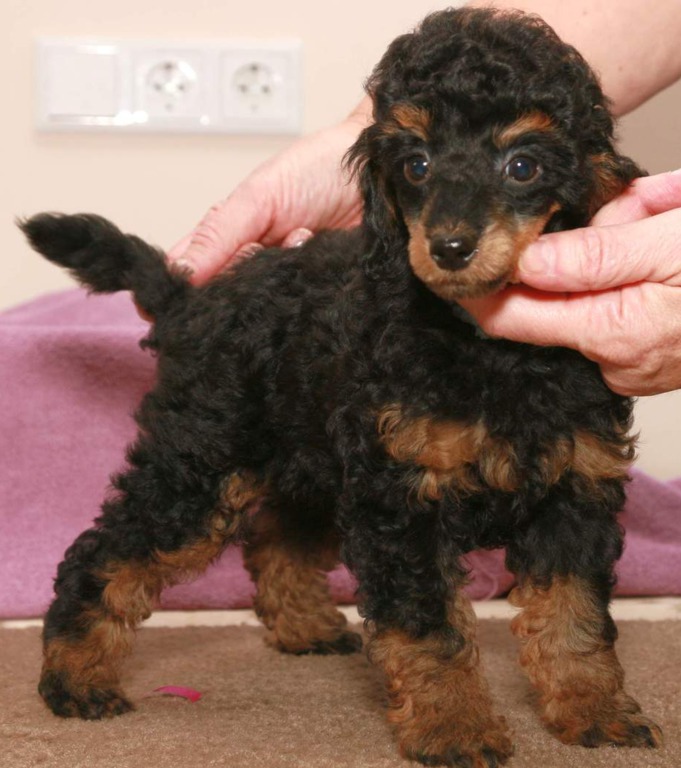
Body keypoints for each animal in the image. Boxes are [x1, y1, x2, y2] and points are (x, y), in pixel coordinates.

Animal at [21, 7, 662, 766]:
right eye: (415, 164)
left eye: (522, 165)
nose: (449, 247)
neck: (487, 350)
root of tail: (194, 298)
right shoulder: (399, 500)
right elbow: (428, 629)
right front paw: (453, 728)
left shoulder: (574, 492)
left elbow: (574, 618)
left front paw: (594, 712)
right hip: (199, 465)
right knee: (104, 555)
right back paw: (74, 678)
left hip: (308, 459)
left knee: (278, 539)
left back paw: (302, 627)